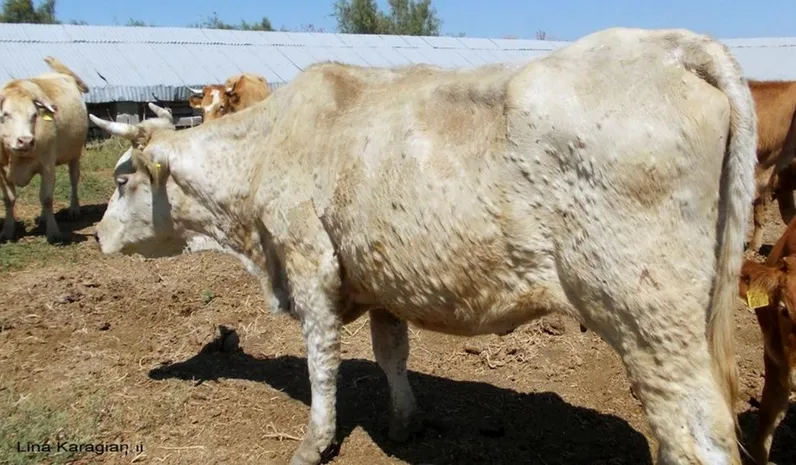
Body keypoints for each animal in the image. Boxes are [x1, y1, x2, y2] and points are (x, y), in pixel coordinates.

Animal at [0, 56, 89, 242]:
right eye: (5, 115)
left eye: (34, 115)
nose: (25, 141)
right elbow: (9, 199)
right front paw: (7, 231)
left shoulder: (48, 164)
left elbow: (47, 198)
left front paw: (53, 232)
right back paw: (42, 218)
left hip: (75, 153)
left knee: (74, 179)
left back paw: (74, 209)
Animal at [89, 27, 757, 465]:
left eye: (122, 181)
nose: (96, 235)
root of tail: (670, 44)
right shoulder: (380, 276)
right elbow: (391, 353)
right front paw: (405, 422)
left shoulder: (310, 265)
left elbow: (321, 364)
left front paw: (313, 443)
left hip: (651, 321)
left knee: (697, 433)